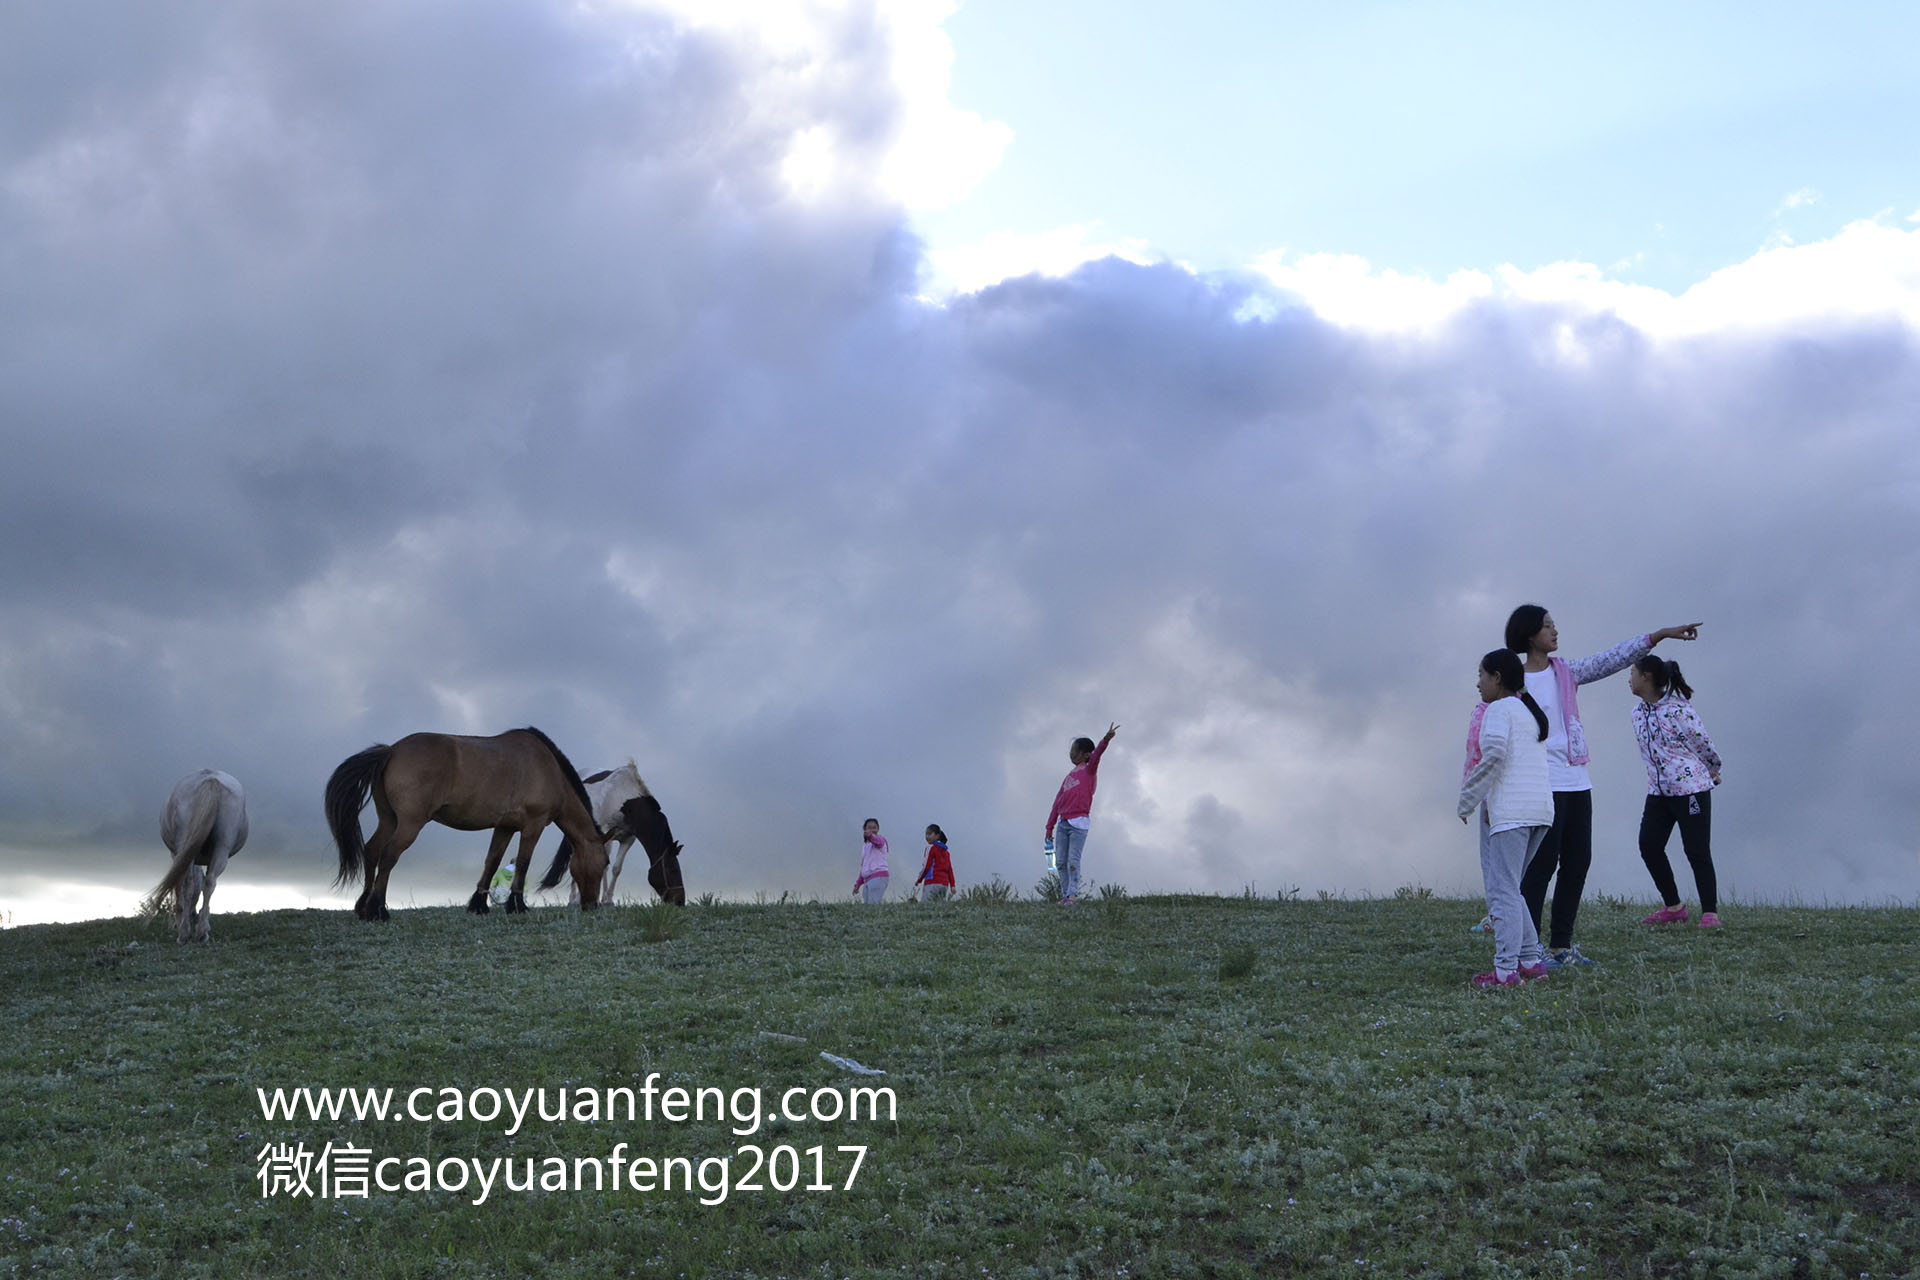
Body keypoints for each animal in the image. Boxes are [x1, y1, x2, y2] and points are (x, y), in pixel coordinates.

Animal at [143, 771, 251, 940]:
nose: (193, 915)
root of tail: (211, 779)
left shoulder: (176, 854)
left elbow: (181, 886)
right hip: (222, 849)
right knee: (210, 882)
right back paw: (201, 932)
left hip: (184, 847)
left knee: (187, 882)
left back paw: (185, 933)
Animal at [322, 729, 606, 921]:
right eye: (604, 863)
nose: (592, 905)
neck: (548, 769)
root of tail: (392, 750)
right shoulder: (532, 826)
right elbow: (523, 863)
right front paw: (517, 905)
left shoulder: (505, 827)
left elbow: (492, 861)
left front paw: (479, 905)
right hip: (409, 824)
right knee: (389, 856)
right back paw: (378, 909)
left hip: (389, 820)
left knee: (371, 850)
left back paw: (363, 906)